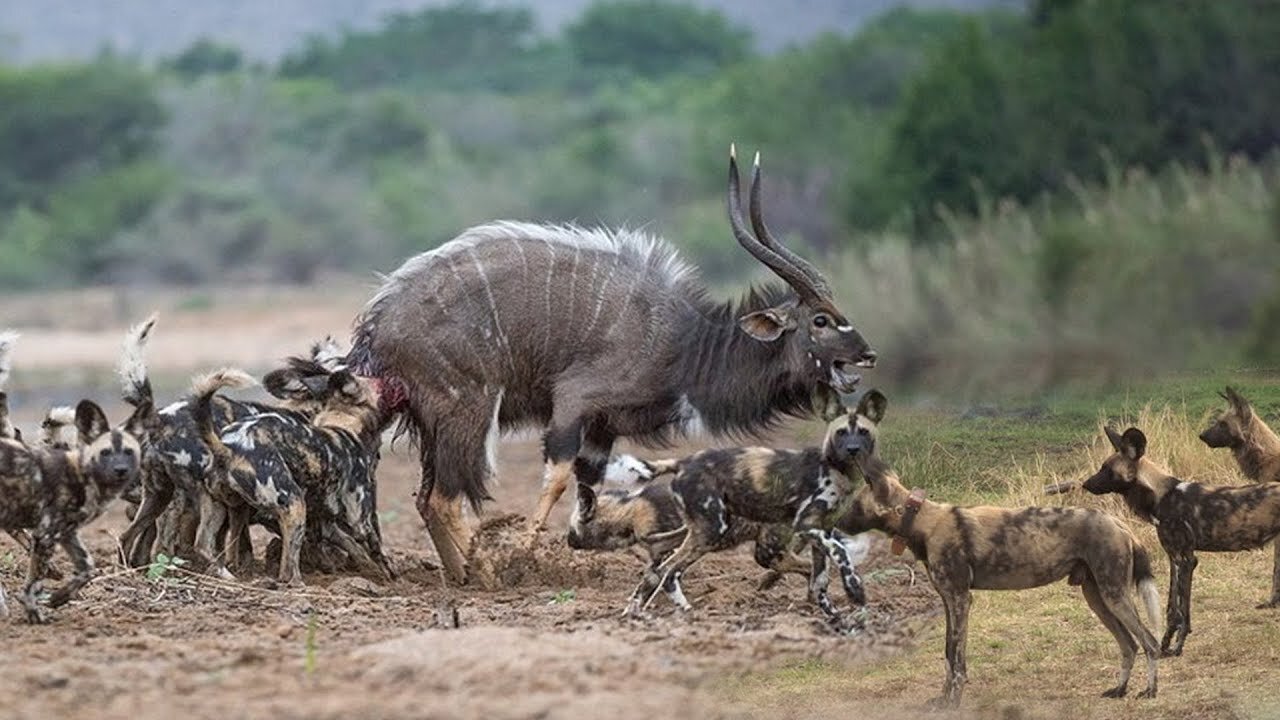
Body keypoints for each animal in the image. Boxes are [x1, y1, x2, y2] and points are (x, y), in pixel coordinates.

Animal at [192, 363, 386, 584]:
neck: (339, 425)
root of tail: (226, 447)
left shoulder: (325, 522)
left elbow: (352, 547)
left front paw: (367, 568)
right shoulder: (360, 519)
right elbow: (374, 546)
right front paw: (386, 574)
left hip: (230, 507)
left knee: (206, 545)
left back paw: (227, 574)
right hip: (294, 505)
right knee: (287, 571)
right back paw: (298, 584)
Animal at [345, 147, 875, 584]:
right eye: (821, 320)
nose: (867, 355)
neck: (684, 344)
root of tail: (377, 324)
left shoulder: (603, 428)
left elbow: (589, 492)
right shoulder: (574, 402)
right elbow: (559, 477)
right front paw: (523, 558)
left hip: (436, 422)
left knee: (426, 499)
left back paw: (462, 575)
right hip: (468, 410)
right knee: (444, 498)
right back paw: (487, 575)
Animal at [622, 386, 885, 622]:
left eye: (863, 432)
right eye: (841, 432)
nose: (852, 449)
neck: (837, 471)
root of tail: (683, 462)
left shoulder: (822, 531)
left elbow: (820, 580)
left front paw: (836, 618)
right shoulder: (806, 526)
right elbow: (840, 555)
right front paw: (854, 592)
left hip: (707, 532)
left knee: (657, 566)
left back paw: (634, 612)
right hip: (716, 531)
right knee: (669, 572)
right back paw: (688, 612)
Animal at [849, 415, 1162, 702]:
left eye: (853, 506)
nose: (837, 520)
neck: (922, 521)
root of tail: (1118, 523)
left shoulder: (960, 600)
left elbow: (957, 658)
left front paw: (953, 701)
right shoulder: (949, 601)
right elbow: (949, 655)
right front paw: (943, 698)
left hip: (1114, 596)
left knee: (1150, 642)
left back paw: (1150, 691)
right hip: (1098, 598)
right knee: (1129, 645)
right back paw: (1120, 689)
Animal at [1085, 425, 1280, 655]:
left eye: (1107, 470)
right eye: (1102, 467)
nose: (1085, 484)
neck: (1161, 495)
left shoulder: (1186, 560)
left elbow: (1182, 608)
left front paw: (1178, 645)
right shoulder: (1175, 558)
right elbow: (1172, 608)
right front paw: (1165, 644)